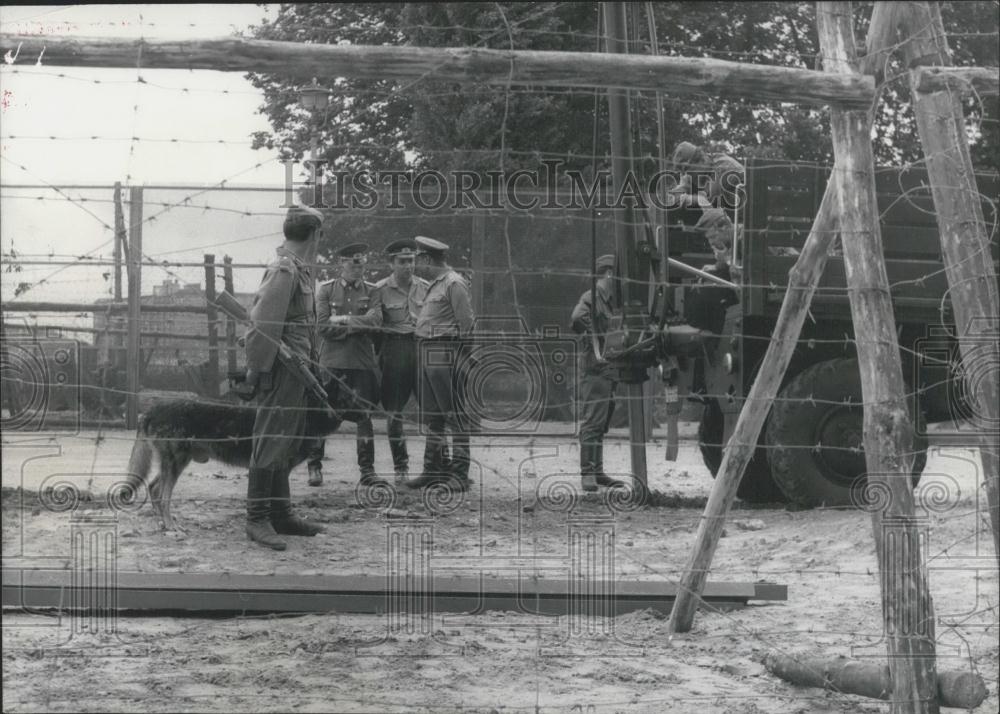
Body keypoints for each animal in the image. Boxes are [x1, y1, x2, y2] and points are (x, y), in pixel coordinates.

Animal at [123, 400, 342, 528]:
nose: (338, 418)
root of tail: (150, 411)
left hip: (175, 464)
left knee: (154, 487)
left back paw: (161, 519)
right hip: (176, 464)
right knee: (163, 496)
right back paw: (170, 526)